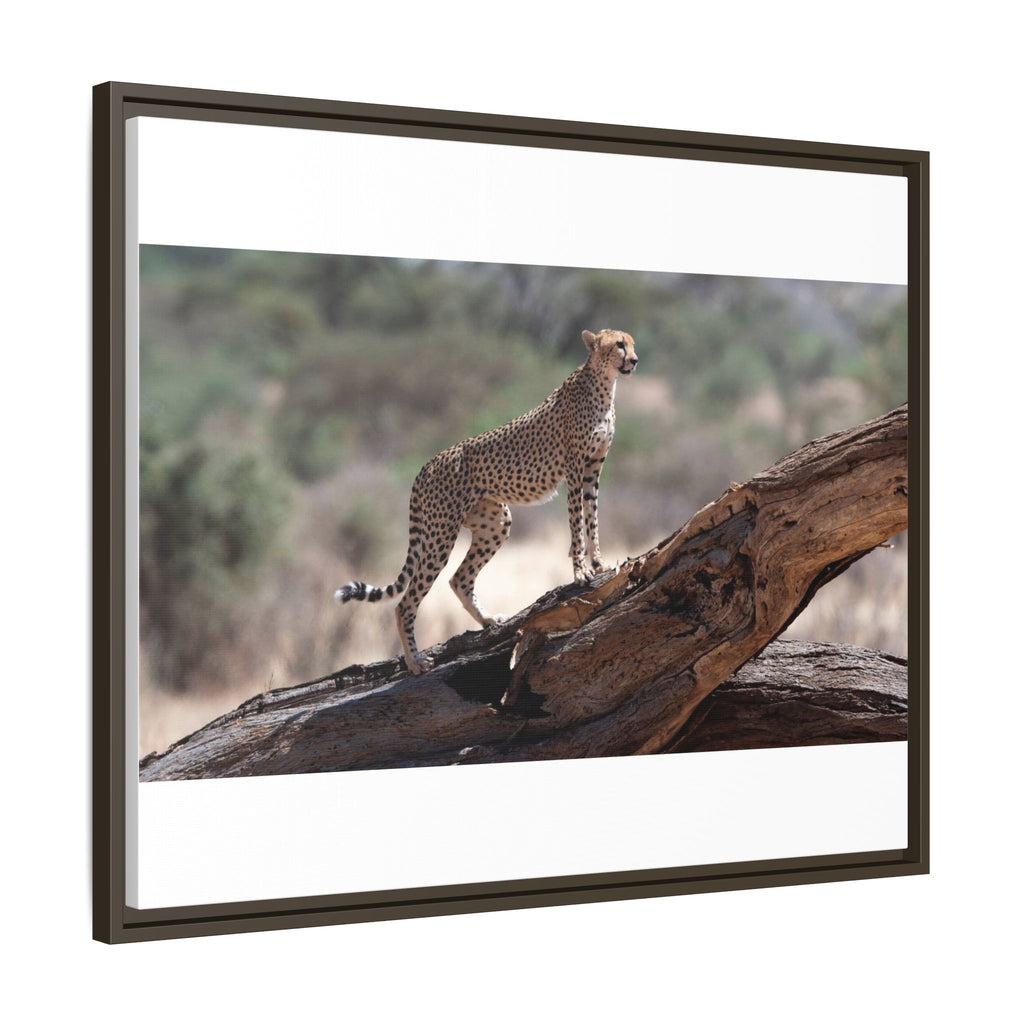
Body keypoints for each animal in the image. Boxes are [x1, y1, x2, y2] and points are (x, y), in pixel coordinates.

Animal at [334, 328, 638, 674]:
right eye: (619, 345)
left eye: (631, 343)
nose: (634, 360)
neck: (604, 384)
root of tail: (427, 464)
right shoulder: (574, 469)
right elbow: (577, 523)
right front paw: (581, 571)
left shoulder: (592, 470)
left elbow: (592, 518)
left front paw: (599, 563)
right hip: (441, 534)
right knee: (406, 601)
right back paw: (415, 661)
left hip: (495, 523)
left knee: (459, 579)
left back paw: (489, 620)